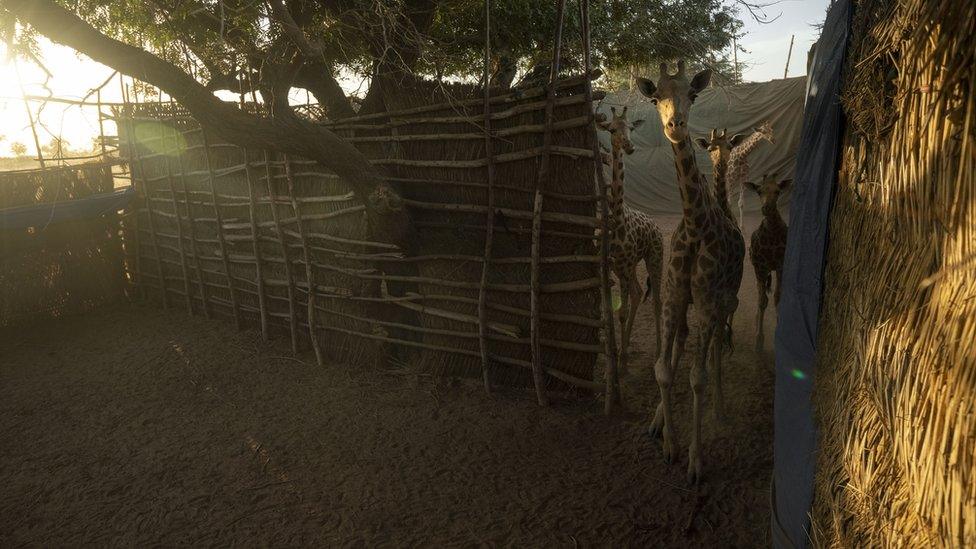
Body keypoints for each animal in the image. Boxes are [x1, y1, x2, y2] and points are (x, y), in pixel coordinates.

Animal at [596, 107, 664, 364]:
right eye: (611, 129)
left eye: (632, 128)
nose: (629, 146)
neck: (618, 218)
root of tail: (655, 225)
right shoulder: (610, 266)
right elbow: (611, 310)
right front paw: (617, 353)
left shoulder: (624, 267)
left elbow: (622, 312)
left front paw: (619, 360)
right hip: (630, 266)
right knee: (637, 293)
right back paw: (625, 349)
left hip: (654, 258)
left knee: (656, 301)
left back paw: (658, 352)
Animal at [632, 61, 748, 484]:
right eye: (655, 97)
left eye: (693, 94)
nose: (675, 125)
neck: (697, 225)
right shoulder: (675, 295)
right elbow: (663, 368)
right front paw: (668, 441)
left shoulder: (709, 299)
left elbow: (696, 377)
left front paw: (696, 462)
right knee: (686, 345)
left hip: (723, 299)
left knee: (714, 350)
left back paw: (721, 407)